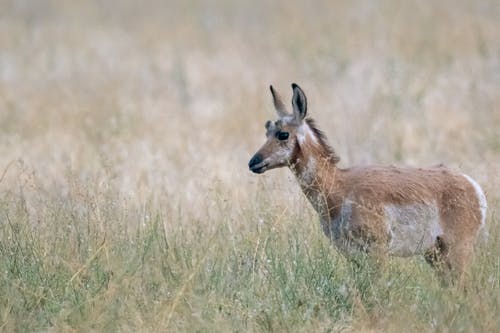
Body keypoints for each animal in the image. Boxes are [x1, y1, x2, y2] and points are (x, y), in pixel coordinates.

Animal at [248, 83, 486, 280]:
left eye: (283, 134)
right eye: (267, 129)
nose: (253, 162)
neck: (340, 187)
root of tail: (471, 185)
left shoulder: (377, 253)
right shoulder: (352, 256)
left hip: (456, 252)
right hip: (435, 255)